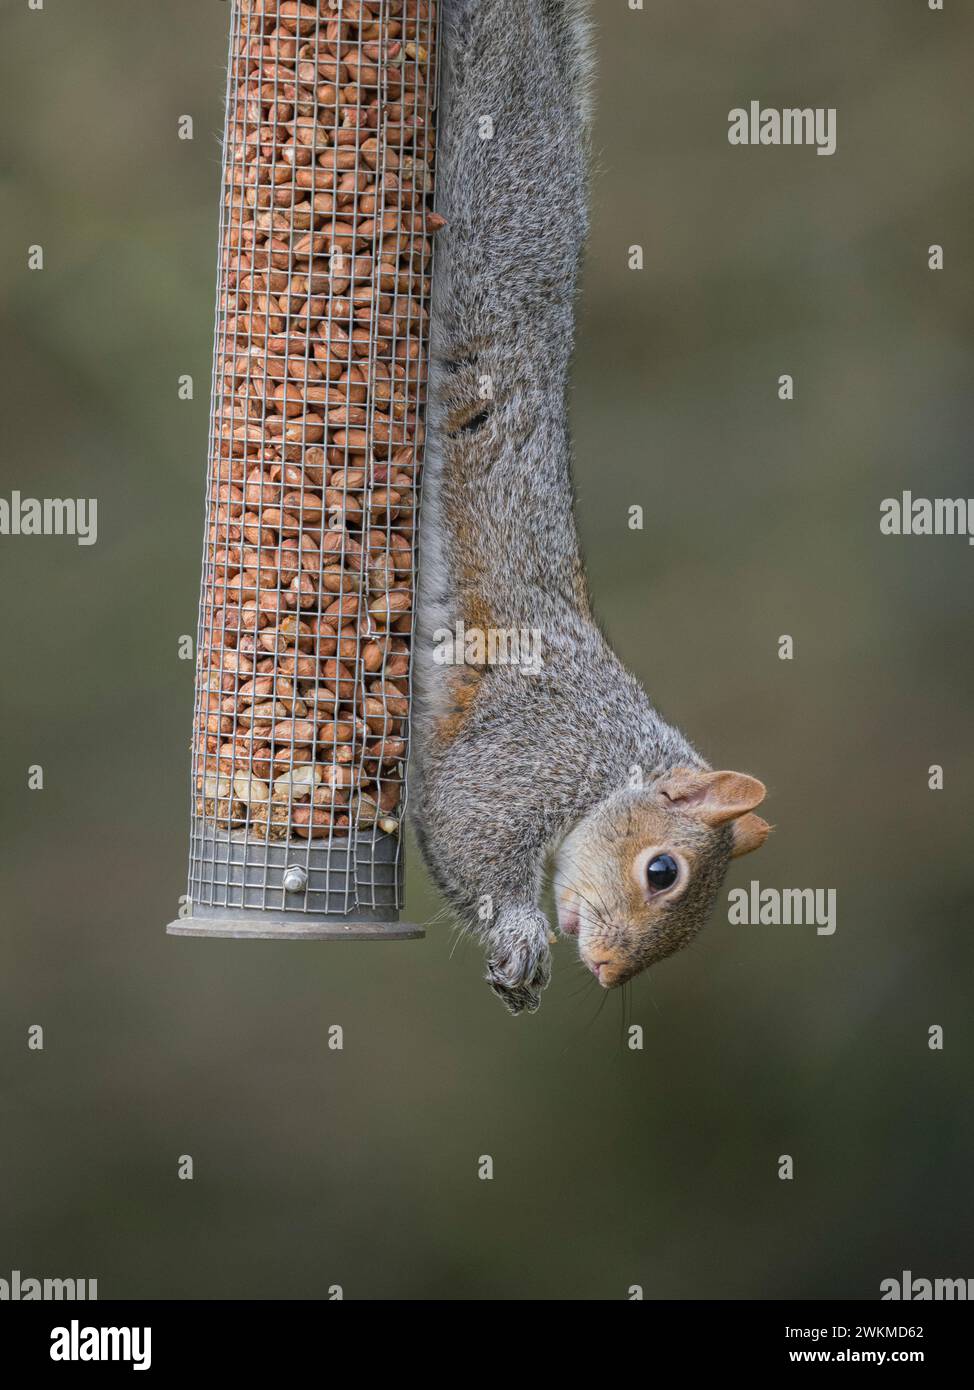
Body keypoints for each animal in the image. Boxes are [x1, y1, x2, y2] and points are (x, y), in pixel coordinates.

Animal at [411, 0, 770, 1014]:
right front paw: (521, 934)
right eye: (664, 872)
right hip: (494, 139)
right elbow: (468, 831)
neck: (618, 757)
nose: (607, 970)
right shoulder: (531, 752)